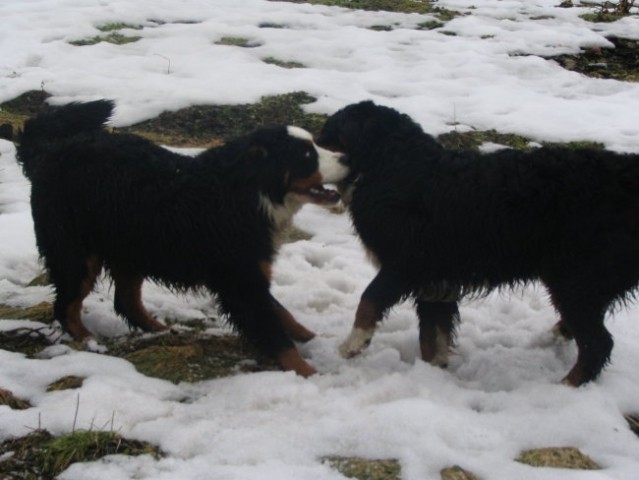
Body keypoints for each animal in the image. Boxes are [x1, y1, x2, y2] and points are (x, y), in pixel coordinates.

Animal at [11, 100, 350, 376]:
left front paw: (312, 338)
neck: (247, 193)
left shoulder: (248, 271)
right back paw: (89, 342)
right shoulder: (240, 279)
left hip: (131, 248)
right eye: (306, 154)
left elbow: (281, 312)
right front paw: (307, 372)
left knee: (126, 301)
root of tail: (50, 152)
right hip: (77, 252)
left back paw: (158, 330)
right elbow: (273, 329)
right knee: (66, 306)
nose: (347, 159)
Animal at [318, 100, 639, 386]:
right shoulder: (435, 282)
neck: (392, 166)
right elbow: (432, 335)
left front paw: (354, 343)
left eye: (326, 138)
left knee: (598, 343)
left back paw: (566, 386)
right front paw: (434, 371)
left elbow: (369, 300)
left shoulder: (407, 264)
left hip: (577, 279)